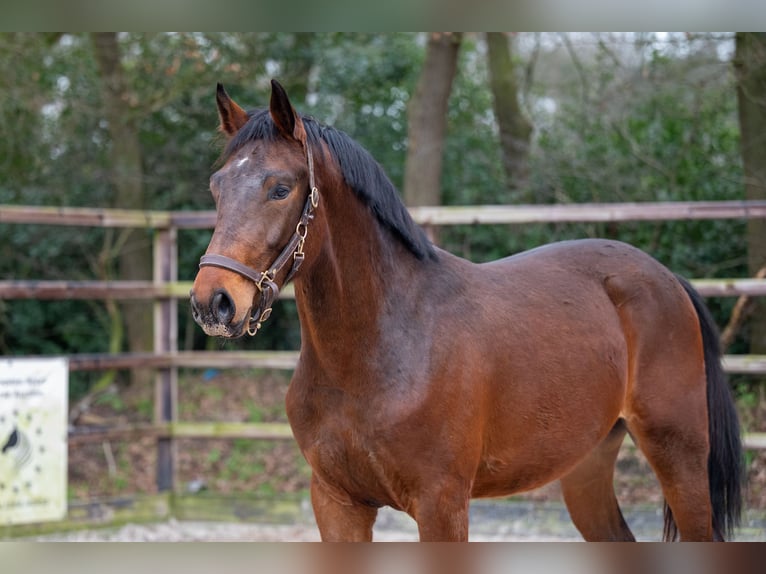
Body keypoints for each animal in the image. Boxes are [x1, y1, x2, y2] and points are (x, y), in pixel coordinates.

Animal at [190, 79, 744, 544]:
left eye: (281, 188)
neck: (377, 351)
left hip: (679, 456)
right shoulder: (336, 503)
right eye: (216, 187)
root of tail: (668, 280)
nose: (212, 302)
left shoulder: (442, 504)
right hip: (587, 468)